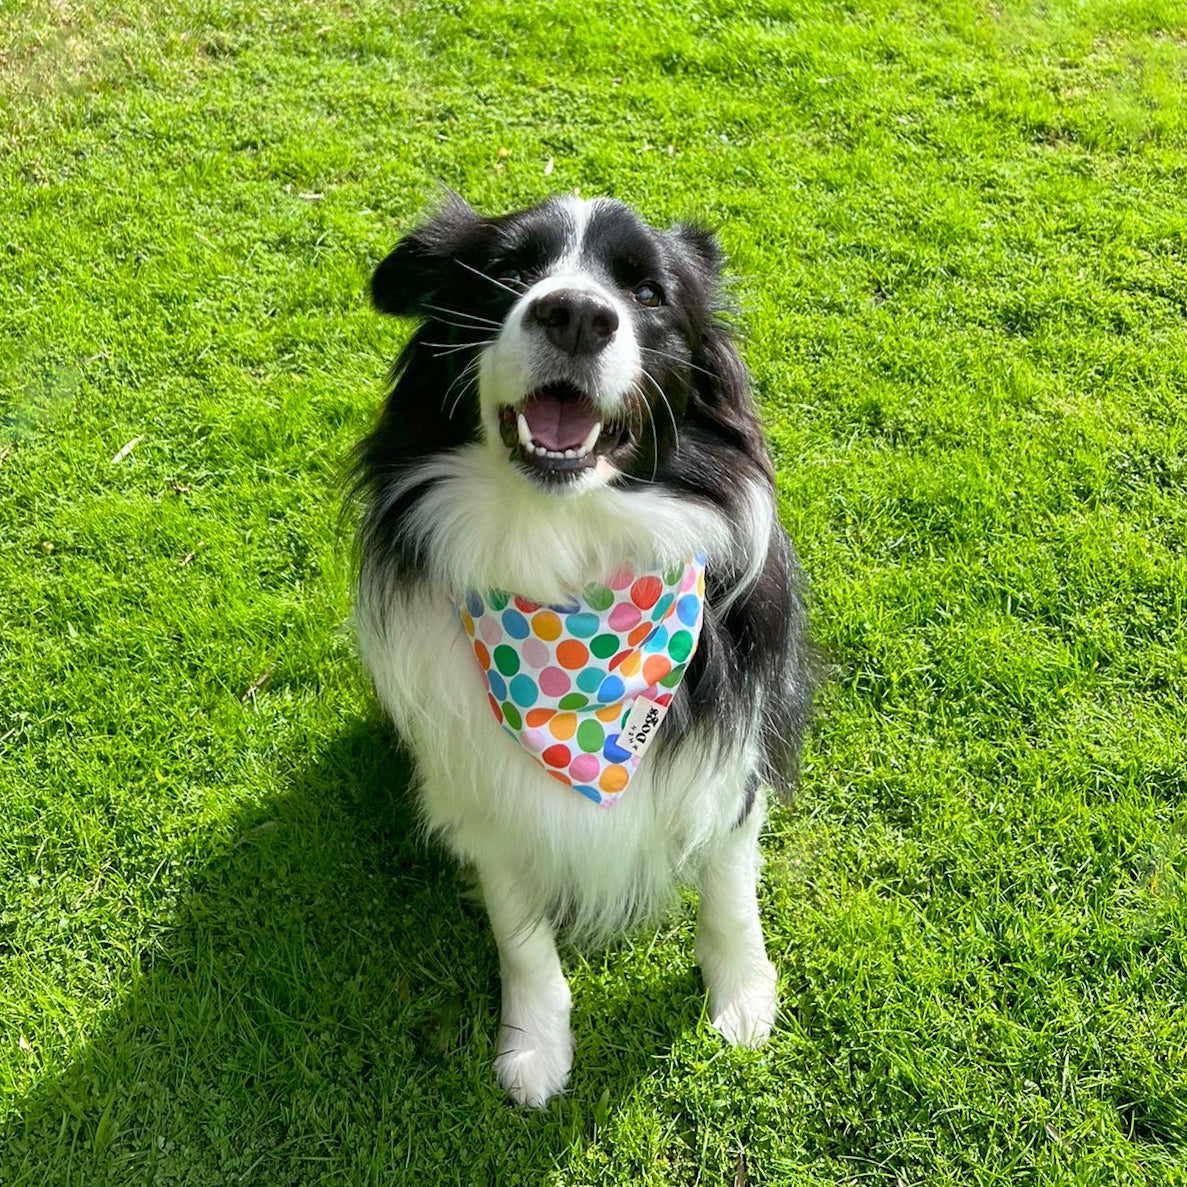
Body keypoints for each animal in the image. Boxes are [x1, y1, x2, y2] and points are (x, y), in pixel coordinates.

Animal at [348, 189, 807, 1106]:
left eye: (648, 293)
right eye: (510, 272)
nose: (574, 314)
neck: (564, 560)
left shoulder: (730, 754)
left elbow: (729, 884)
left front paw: (741, 997)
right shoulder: (482, 789)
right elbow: (520, 930)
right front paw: (534, 1043)